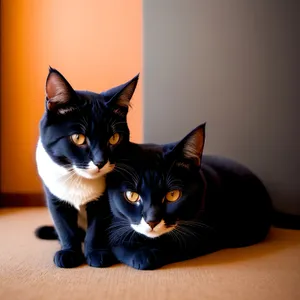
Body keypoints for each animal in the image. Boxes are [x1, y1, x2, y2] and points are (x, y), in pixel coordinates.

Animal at [36, 67, 138, 268]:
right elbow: (64, 227)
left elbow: (96, 228)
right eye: (78, 138)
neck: (78, 179)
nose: (100, 161)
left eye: (114, 138)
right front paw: (68, 253)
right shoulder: (54, 197)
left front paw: (96, 254)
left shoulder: (104, 202)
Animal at [106, 122, 298, 270]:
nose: (152, 221)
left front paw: (146, 256)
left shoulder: (202, 231)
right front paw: (139, 254)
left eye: (173, 195)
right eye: (132, 196)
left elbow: (181, 244)